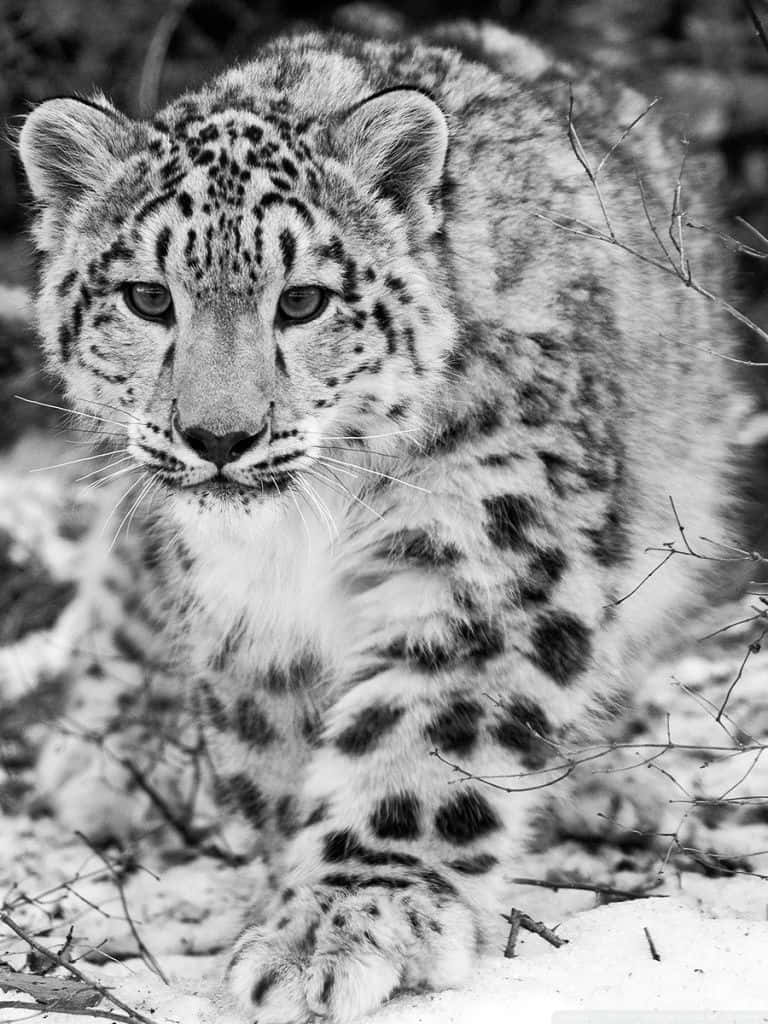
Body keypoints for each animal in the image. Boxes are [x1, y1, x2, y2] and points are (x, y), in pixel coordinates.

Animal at [14, 20, 744, 1024]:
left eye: (304, 300)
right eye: (148, 298)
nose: (219, 436)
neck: (298, 538)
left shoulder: (488, 545)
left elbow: (424, 733)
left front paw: (349, 920)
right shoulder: (245, 609)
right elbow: (273, 743)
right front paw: (298, 896)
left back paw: (608, 787)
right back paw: (112, 756)